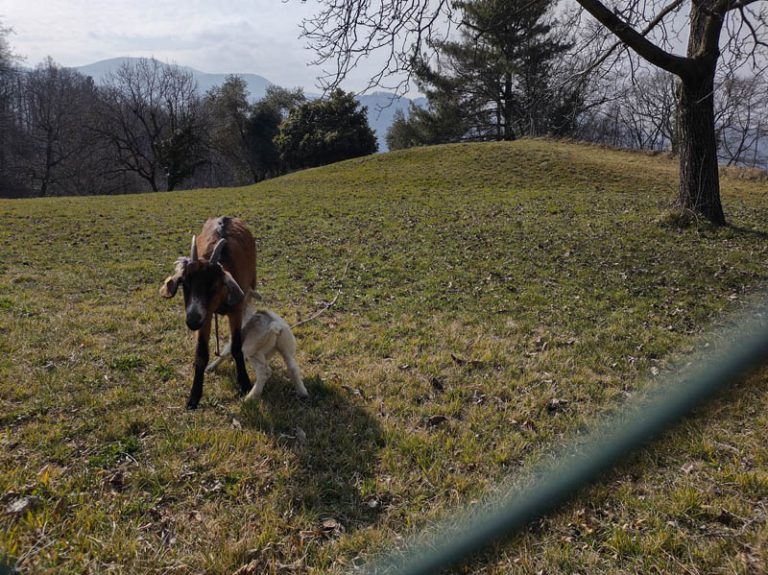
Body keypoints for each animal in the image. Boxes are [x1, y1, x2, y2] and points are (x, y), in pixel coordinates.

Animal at [160, 216, 256, 410]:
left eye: (213, 284)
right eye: (185, 284)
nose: (192, 320)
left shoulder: (235, 310)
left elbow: (236, 347)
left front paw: (244, 383)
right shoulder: (206, 316)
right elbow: (201, 354)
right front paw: (194, 397)